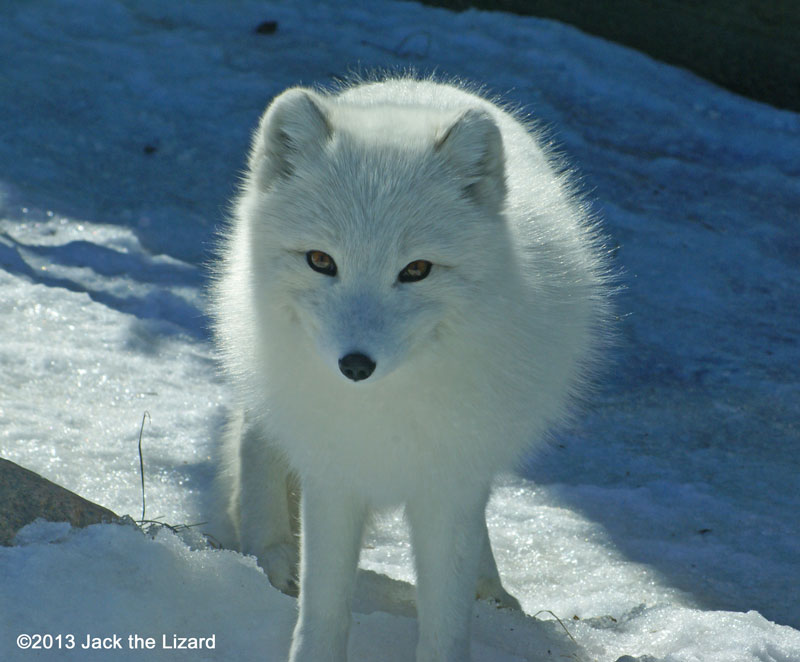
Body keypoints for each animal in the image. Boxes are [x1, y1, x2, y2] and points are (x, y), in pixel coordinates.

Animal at [209, 76, 608, 662]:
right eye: (320, 260)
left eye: (416, 270)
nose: (354, 365)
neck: (383, 412)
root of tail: (415, 82)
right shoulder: (333, 475)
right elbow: (322, 609)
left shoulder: (449, 483)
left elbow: (446, 619)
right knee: (256, 446)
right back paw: (270, 555)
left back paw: (491, 589)